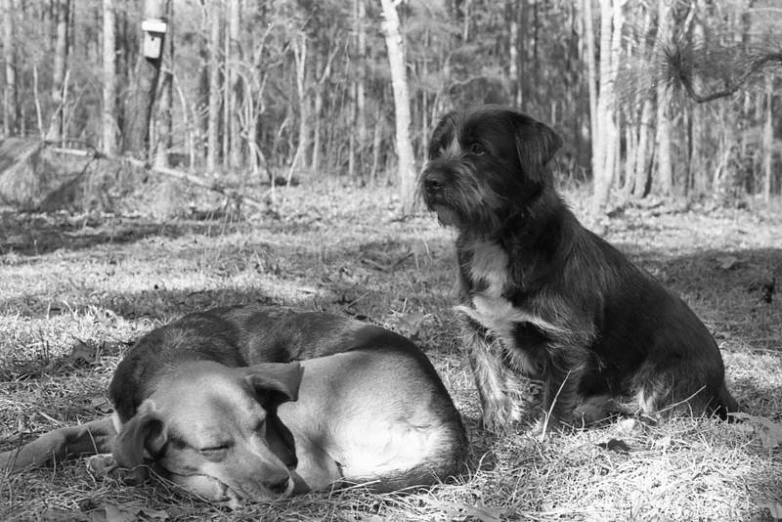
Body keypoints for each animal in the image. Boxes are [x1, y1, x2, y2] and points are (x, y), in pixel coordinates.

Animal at [0, 304, 468, 504]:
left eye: (260, 426)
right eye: (214, 447)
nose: (276, 484)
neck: (174, 357)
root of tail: (447, 419)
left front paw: (129, 468)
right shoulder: (121, 422)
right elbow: (60, 434)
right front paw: (14, 458)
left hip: (302, 387)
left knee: (314, 476)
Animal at [420, 104, 740, 430]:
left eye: (478, 149)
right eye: (437, 149)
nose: (430, 181)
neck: (495, 240)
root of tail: (722, 382)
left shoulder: (566, 340)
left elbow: (557, 394)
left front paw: (546, 433)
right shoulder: (478, 329)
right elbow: (489, 381)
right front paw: (497, 424)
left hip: (663, 378)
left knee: (658, 413)